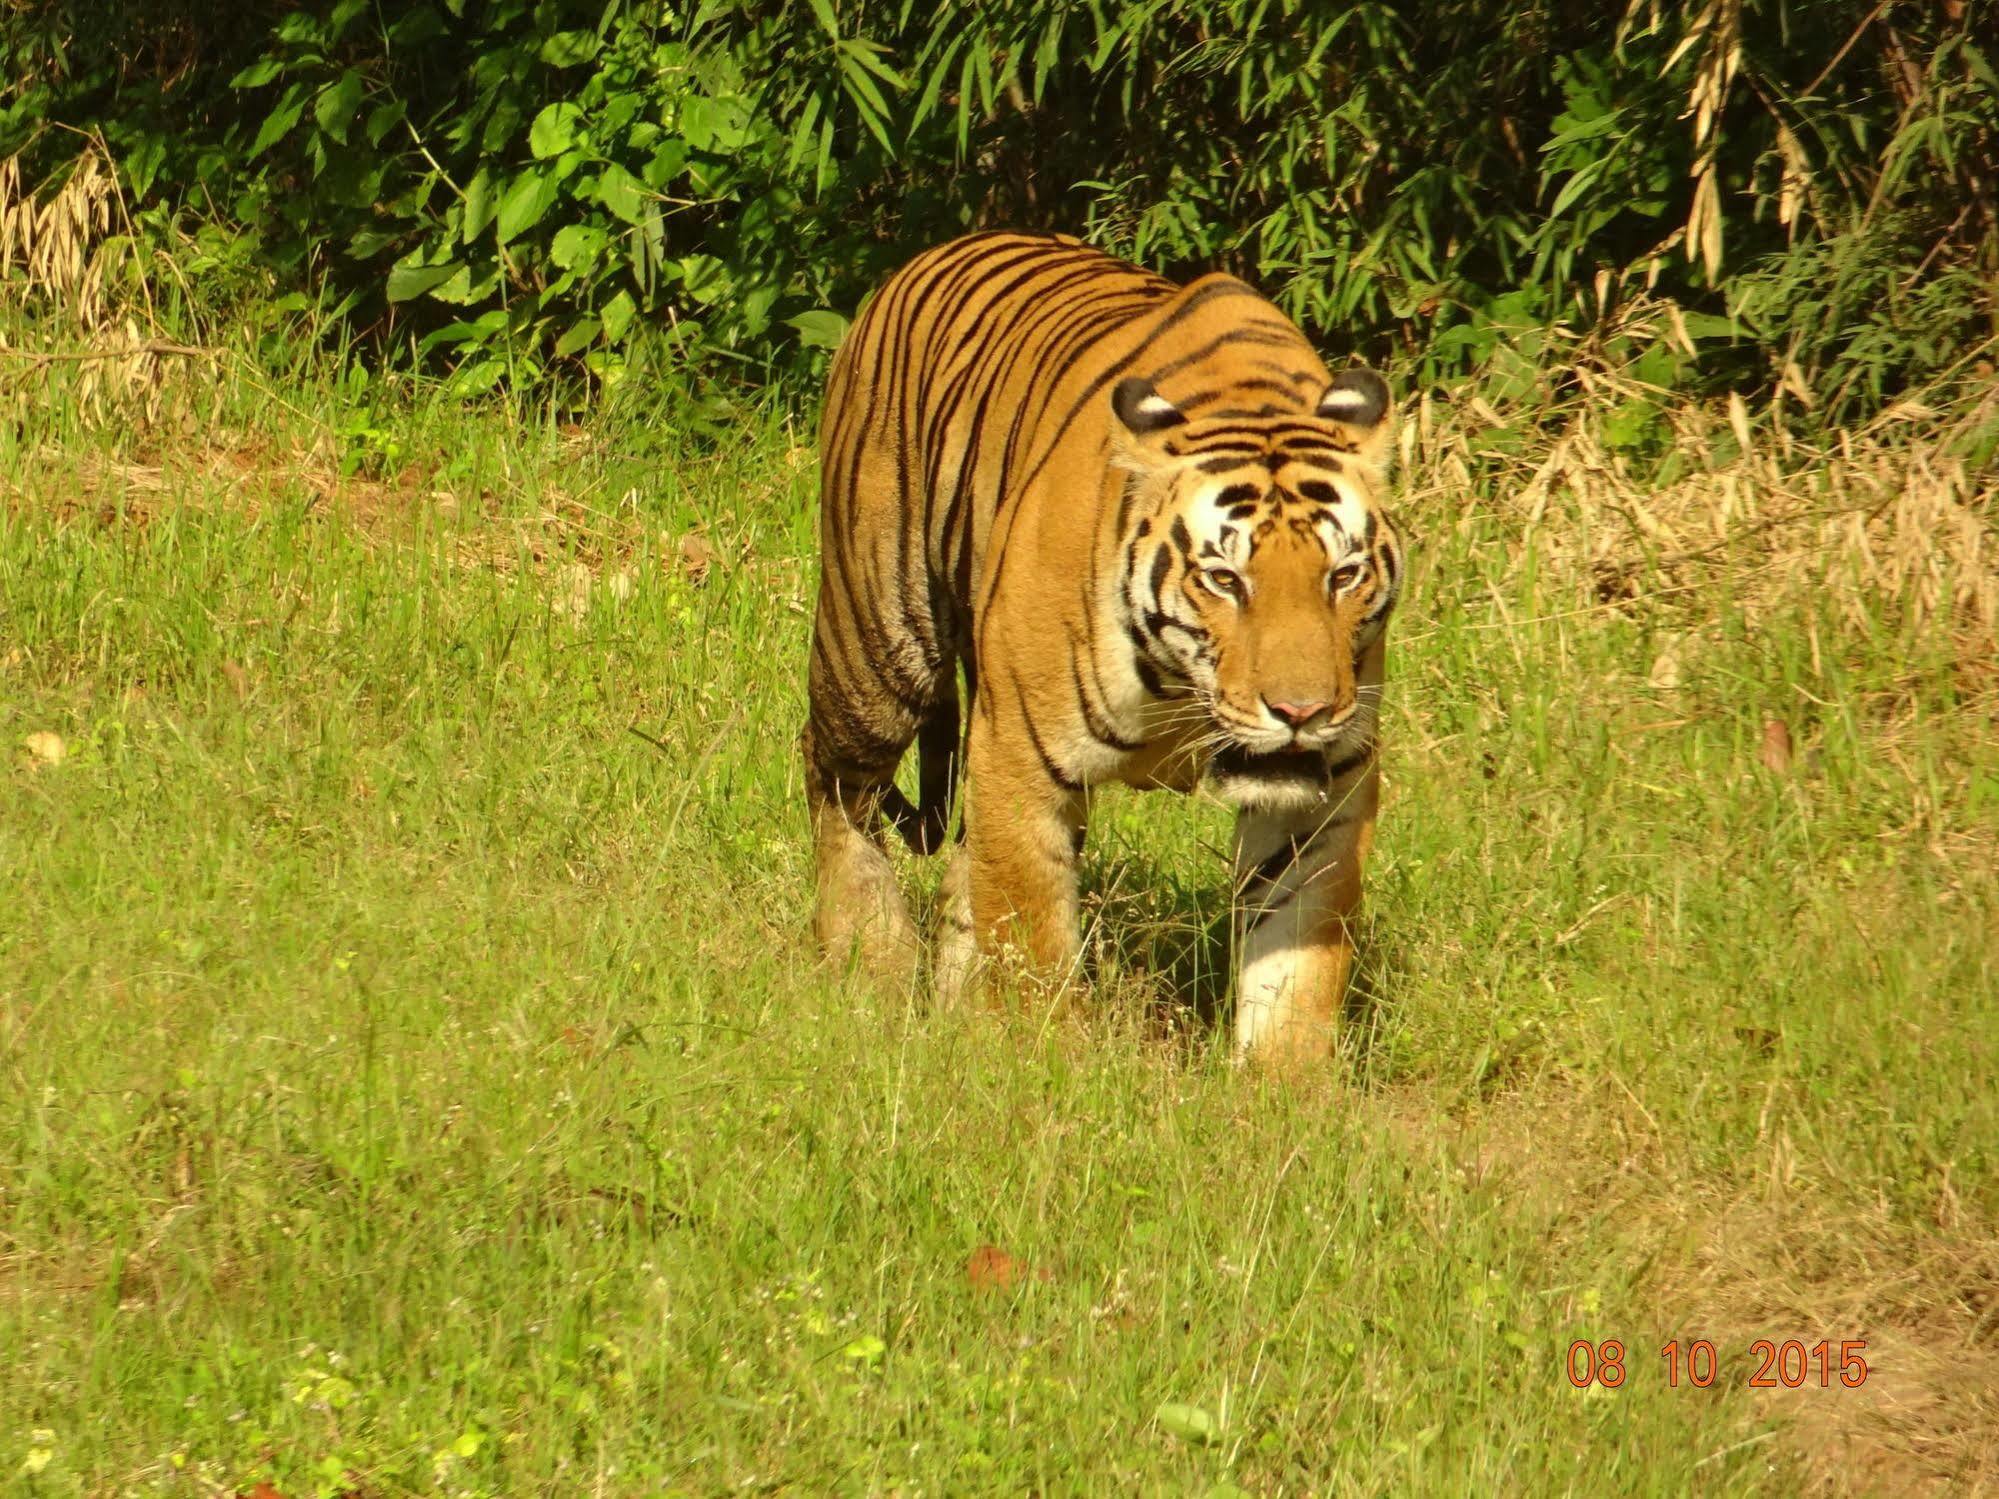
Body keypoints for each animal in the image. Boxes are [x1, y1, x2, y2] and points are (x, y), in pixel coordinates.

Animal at [799, 228, 1407, 1063]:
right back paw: (871, 962)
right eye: (1224, 579)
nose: (1300, 711)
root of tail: (929, 255)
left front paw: (1283, 1083)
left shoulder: (1325, 797)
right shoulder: (1021, 762)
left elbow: (1296, 958)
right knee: (835, 781)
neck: (1183, 693)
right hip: (880, 643)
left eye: (1341, 575)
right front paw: (1045, 1066)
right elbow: (1031, 938)